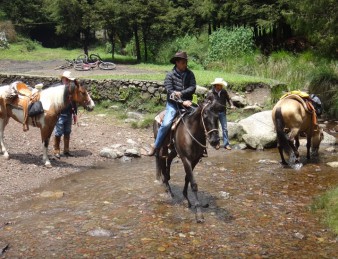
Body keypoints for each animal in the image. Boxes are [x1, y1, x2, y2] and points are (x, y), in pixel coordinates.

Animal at [153, 94, 222, 224]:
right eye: (205, 115)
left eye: (217, 116)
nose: (215, 141)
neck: (192, 132)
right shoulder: (186, 159)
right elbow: (193, 183)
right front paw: (199, 214)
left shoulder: (195, 160)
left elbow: (187, 178)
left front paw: (186, 198)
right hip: (162, 146)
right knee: (161, 161)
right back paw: (168, 189)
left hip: (174, 150)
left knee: (169, 159)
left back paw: (167, 178)